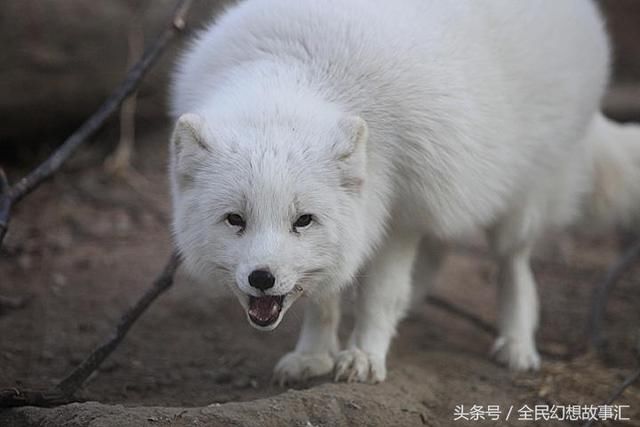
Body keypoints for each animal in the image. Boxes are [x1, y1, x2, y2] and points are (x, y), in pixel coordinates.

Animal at [169, 0, 640, 384]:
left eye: (303, 220)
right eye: (235, 219)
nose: (262, 278)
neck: (301, 68)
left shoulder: (400, 213)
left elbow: (379, 296)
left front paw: (362, 356)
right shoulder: (371, 221)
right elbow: (323, 299)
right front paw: (314, 356)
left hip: (518, 199)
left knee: (515, 265)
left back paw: (517, 343)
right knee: (441, 247)